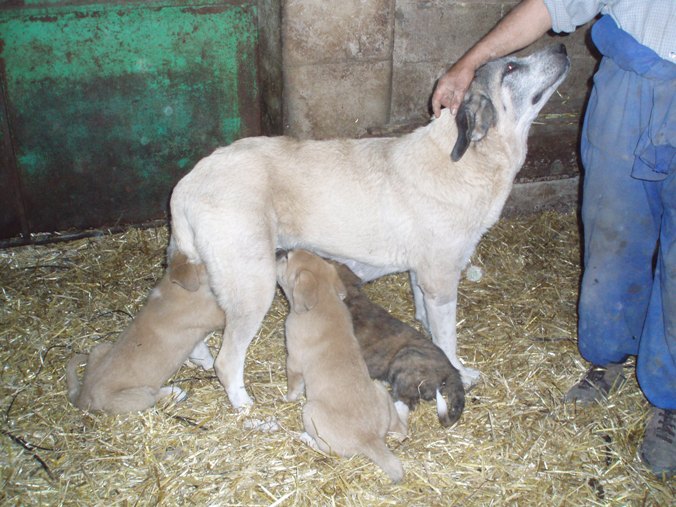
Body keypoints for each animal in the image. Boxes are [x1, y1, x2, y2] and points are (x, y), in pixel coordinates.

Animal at [69, 254, 227, 416]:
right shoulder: (213, 315)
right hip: (137, 397)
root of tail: (82, 398)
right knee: (153, 396)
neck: (176, 288)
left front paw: (209, 364)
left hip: (100, 348)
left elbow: (202, 352)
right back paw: (177, 393)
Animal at [170, 42, 572, 408]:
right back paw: (246, 407)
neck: (467, 160)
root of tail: (187, 184)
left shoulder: (420, 276)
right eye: (511, 68)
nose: (562, 46)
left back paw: (199, 358)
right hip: (254, 283)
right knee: (227, 361)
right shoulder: (441, 281)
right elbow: (446, 338)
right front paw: (459, 370)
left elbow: (426, 322)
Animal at [276, 250, 406, 484]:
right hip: (379, 389)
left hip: (310, 411)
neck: (324, 301)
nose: (277, 252)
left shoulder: (293, 361)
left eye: (287, 258)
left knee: (326, 449)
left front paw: (286, 398)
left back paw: (306, 439)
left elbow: (293, 387)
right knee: (401, 428)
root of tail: (370, 438)